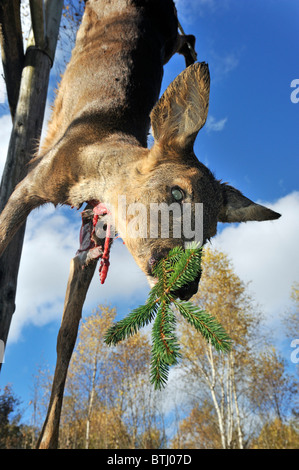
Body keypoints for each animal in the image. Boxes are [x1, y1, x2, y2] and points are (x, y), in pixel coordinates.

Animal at [0, 0, 282, 448]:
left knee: (188, 37)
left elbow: (67, 336)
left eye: (210, 233)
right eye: (177, 193)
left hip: (165, 34)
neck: (91, 167)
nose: (186, 286)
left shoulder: (90, 244)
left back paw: (192, 57)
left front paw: (48, 439)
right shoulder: (28, 186)